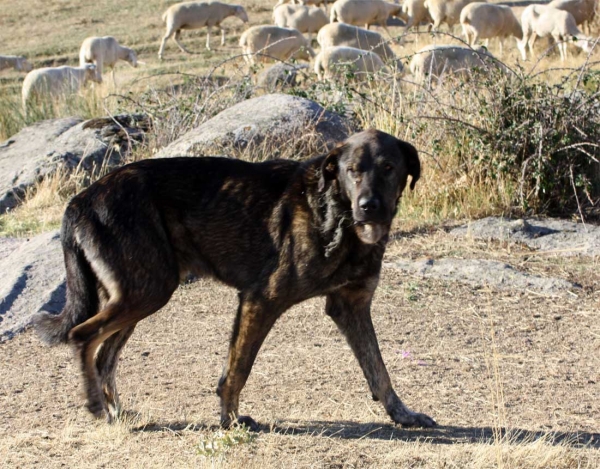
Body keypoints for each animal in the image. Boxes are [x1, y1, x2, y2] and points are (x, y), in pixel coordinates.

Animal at [34, 128, 436, 428]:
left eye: (388, 167)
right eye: (353, 170)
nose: (368, 206)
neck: (334, 213)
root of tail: (81, 199)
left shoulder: (351, 307)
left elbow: (379, 369)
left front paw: (402, 414)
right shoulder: (260, 300)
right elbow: (238, 369)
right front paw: (230, 421)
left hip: (138, 295)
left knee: (104, 357)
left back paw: (115, 412)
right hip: (147, 291)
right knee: (83, 336)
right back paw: (96, 407)